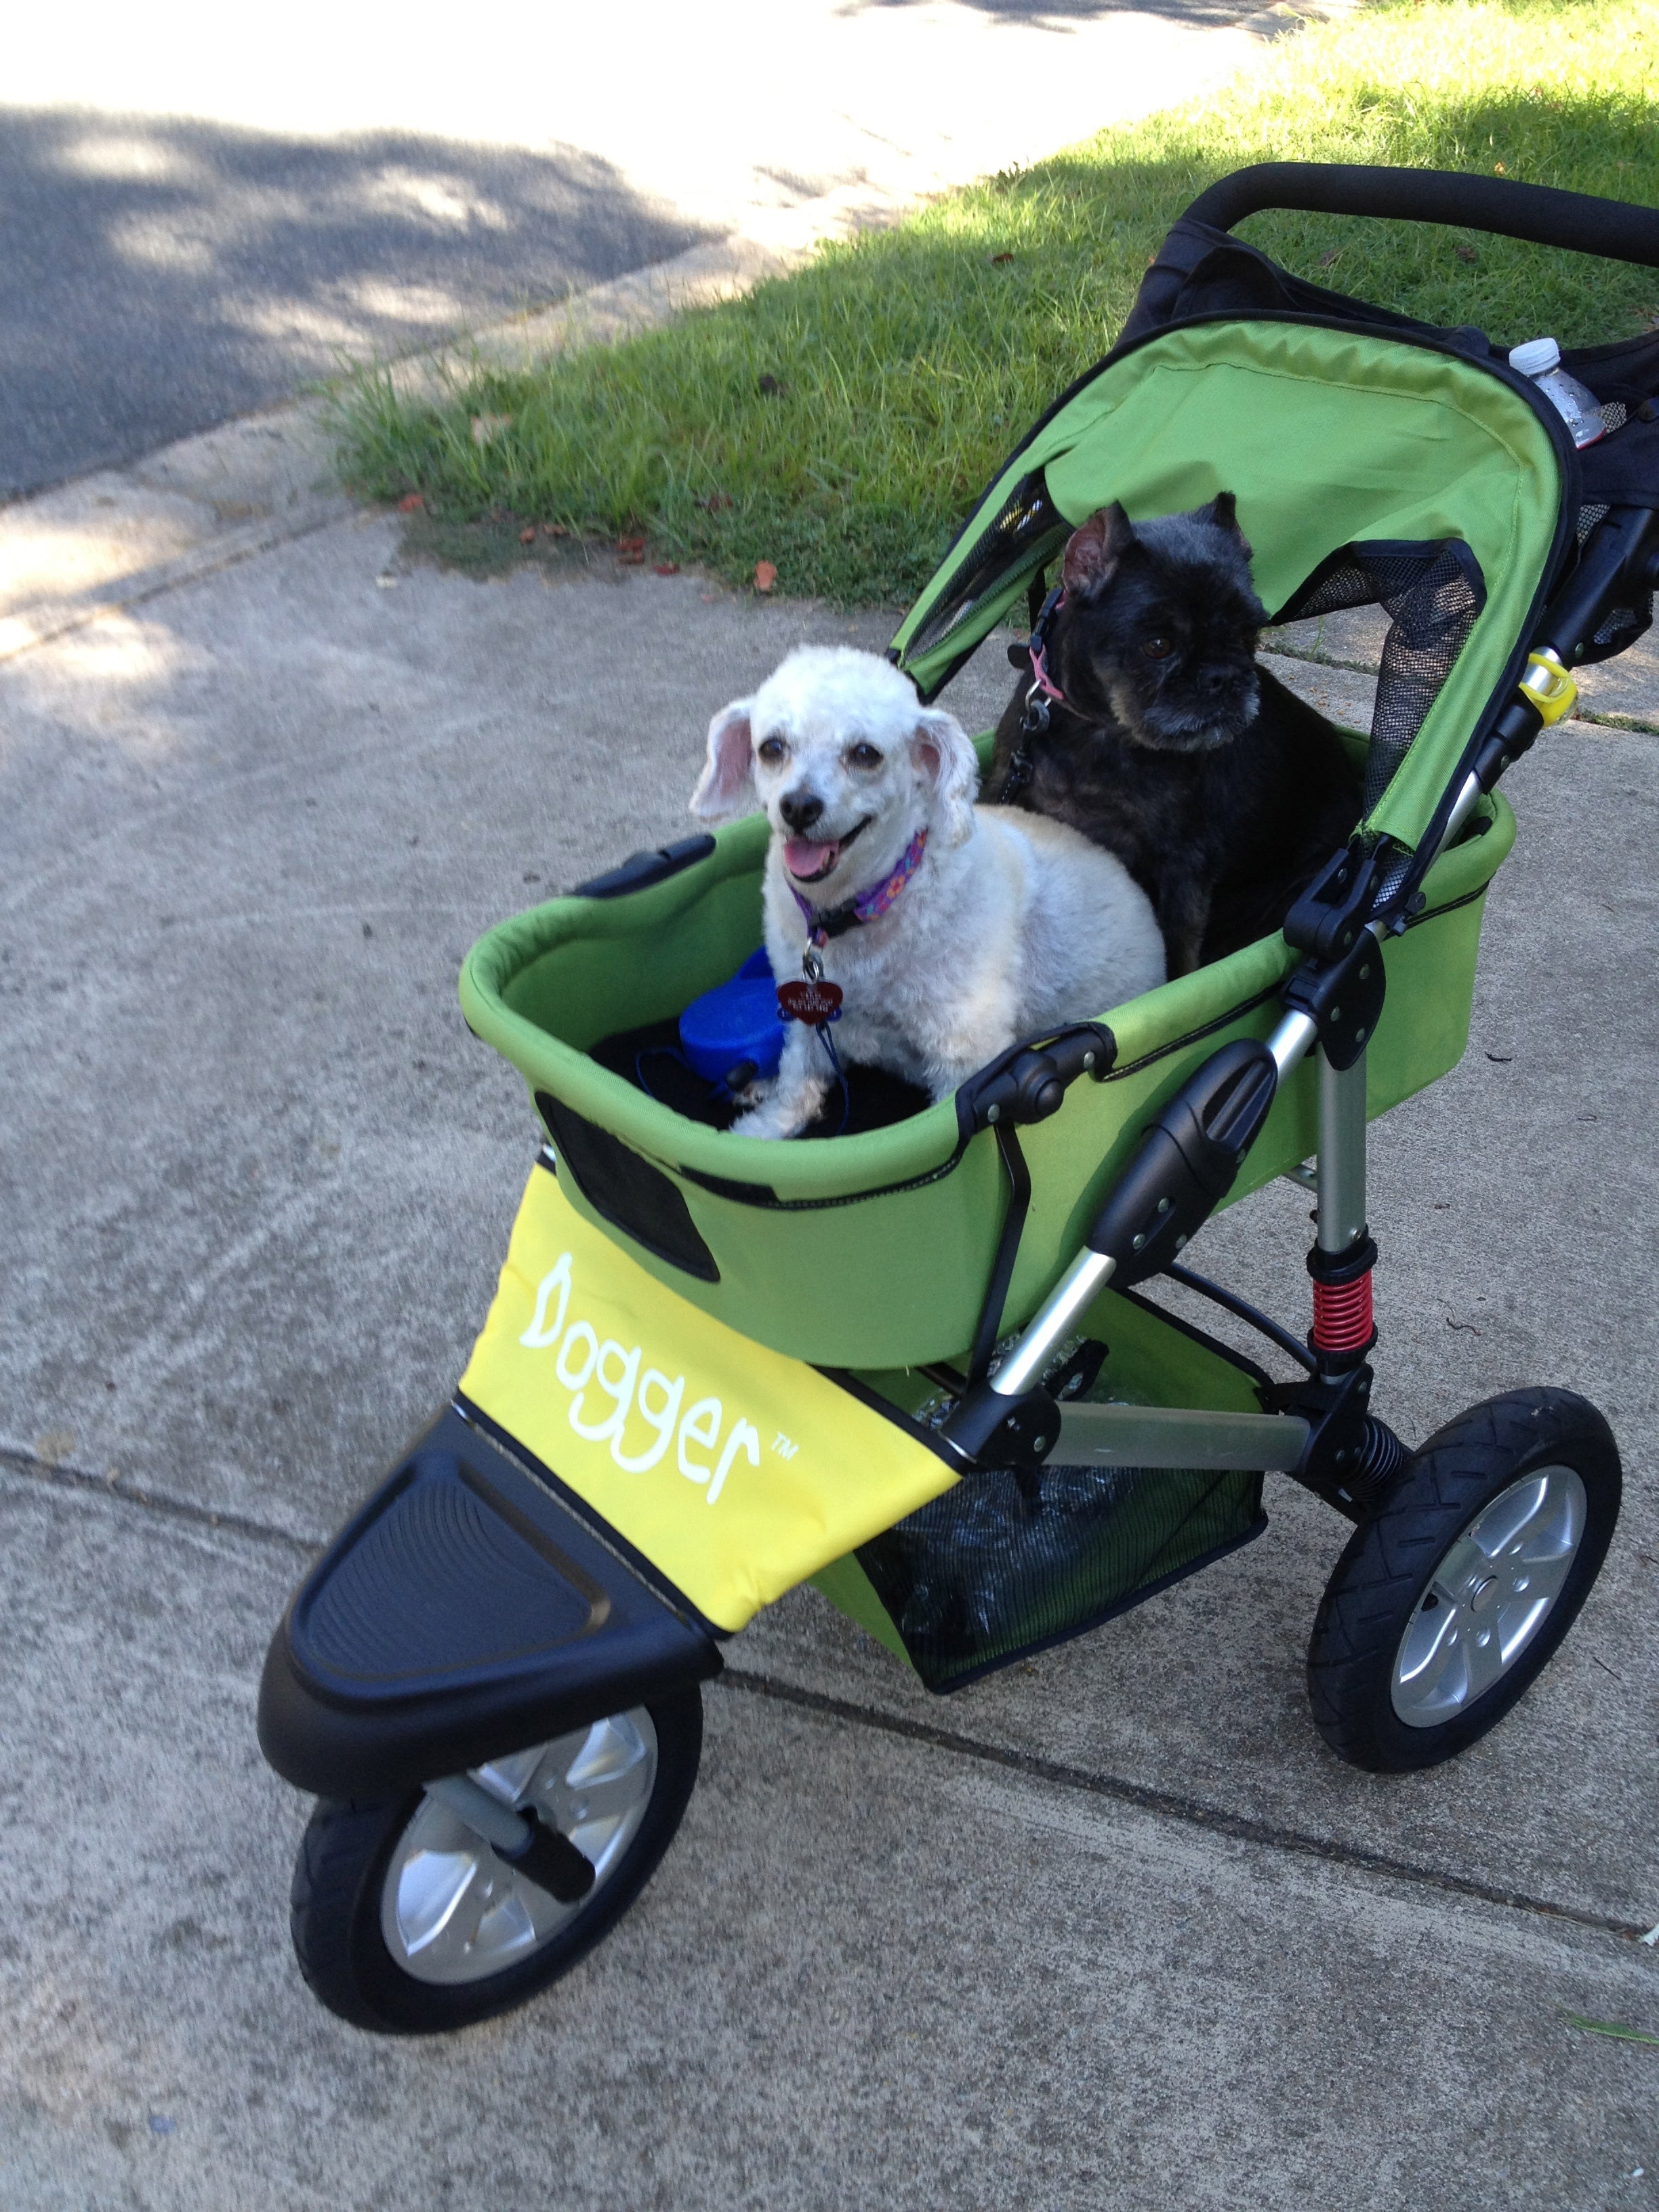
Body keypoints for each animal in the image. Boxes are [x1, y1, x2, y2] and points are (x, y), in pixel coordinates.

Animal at [690, 646, 1168, 1141]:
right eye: (772, 748)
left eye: (865, 754)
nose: (799, 806)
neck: (859, 910)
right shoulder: (806, 1013)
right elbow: (799, 1074)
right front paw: (764, 1128)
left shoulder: (965, 1056)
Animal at [986, 501, 1362, 986]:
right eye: (1158, 645)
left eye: (1248, 635)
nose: (1221, 677)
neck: (1103, 732)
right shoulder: (1006, 787)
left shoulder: (1184, 871)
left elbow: (1178, 960)